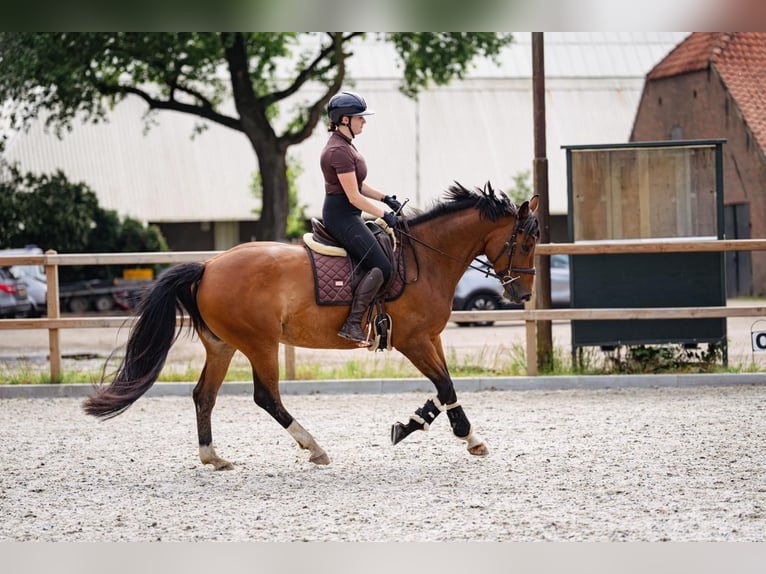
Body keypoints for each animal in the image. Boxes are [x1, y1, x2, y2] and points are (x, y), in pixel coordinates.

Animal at [82, 184, 540, 472]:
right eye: (526, 242)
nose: (523, 294)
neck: (425, 259)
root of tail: (209, 266)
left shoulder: (431, 337)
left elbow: (445, 388)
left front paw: (416, 423)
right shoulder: (412, 340)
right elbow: (445, 385)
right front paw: (466, 437)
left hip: (222, 346)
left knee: (203, 396)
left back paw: (213, 457)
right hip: (260, 343)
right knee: (266, 396)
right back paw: (314, 447)